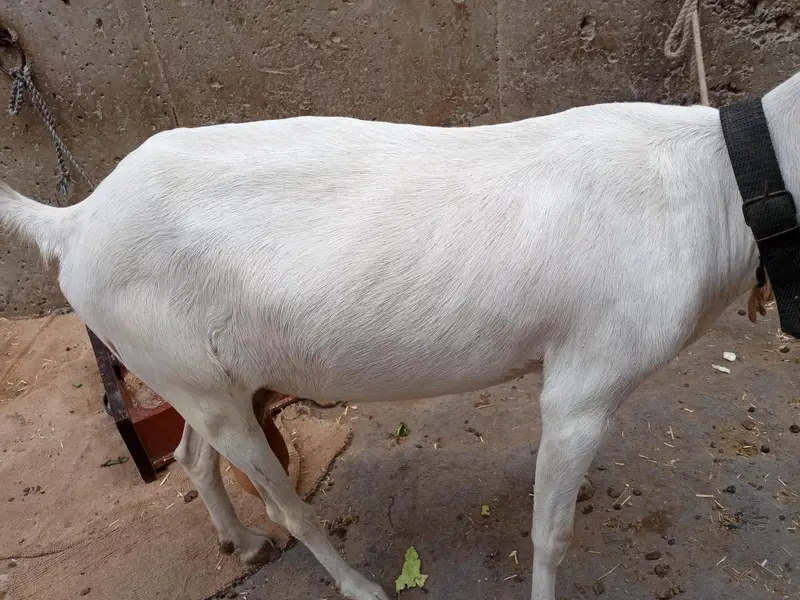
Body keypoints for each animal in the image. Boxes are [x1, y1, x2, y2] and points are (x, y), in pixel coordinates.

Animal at [2, 70, 798, 600]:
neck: (722, 177)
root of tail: (76, 221)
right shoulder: (585, 386)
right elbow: (552, 534)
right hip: (192, 376)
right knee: (285, 502)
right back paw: (355, 584)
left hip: (201, 378)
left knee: (196, 456)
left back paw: (243, 543)